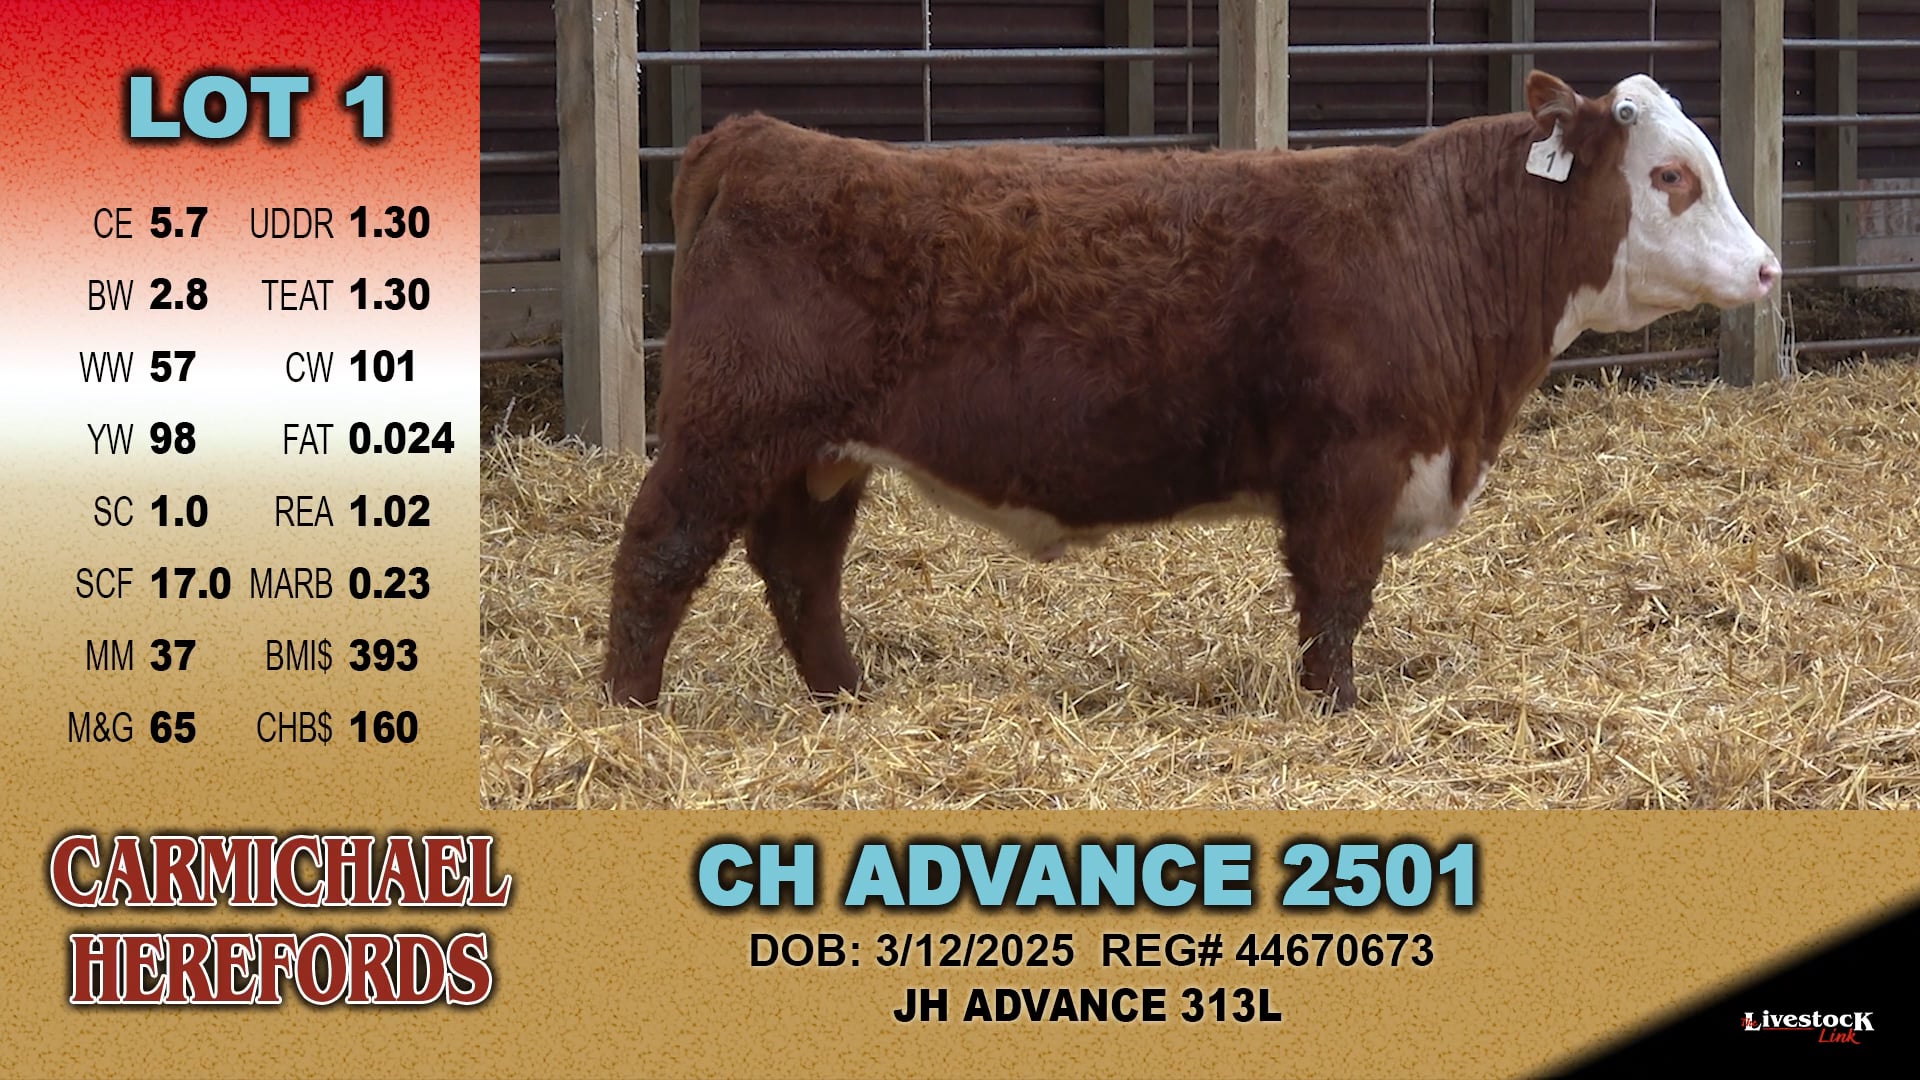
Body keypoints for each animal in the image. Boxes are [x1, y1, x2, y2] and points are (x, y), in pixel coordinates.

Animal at [602, 70, 1779, 712]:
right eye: (1670, 175)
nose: (1769, 269)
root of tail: (758, 138)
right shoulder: (1349, 467)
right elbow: (1337, 602)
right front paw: (1335, 715)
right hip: (725, 431)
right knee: (660, 553)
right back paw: (629, 715)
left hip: (817, 455)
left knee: (802, 573)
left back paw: (847, 699)